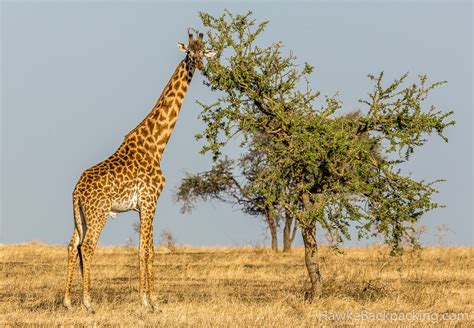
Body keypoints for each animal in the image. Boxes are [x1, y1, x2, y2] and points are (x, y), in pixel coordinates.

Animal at [64, 32, 216, 312]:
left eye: (203, 52)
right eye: (190, 53)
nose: (199, 65)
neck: (157, 144)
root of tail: (76, 190)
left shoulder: (142, 205)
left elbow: (145, 249)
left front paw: (147, 300)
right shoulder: (150, 200)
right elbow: (147, 250)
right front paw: (151, 301)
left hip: (80, 215)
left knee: (72, 246)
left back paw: (68, 301)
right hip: (98, 213)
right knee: (87, 247)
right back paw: (89, 302)